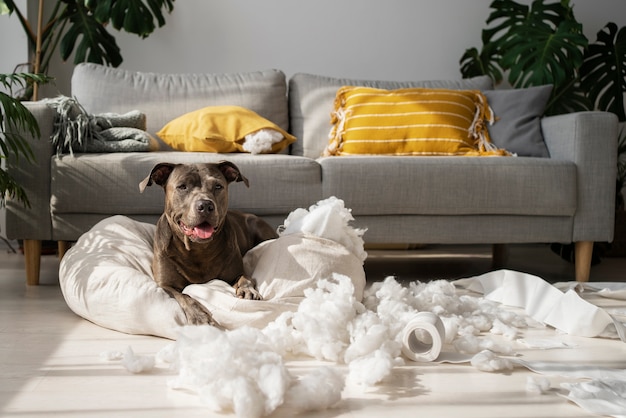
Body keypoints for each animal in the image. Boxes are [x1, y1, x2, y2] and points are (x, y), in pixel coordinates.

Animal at [141, 160, 278, 326]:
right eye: (182, 186)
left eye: (218, 186)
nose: (205, 205)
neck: (198, 249)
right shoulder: (165, 285)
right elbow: (184, 296)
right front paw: (198, 315)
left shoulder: (236, 272)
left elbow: (244, 278)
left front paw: (248, 290)